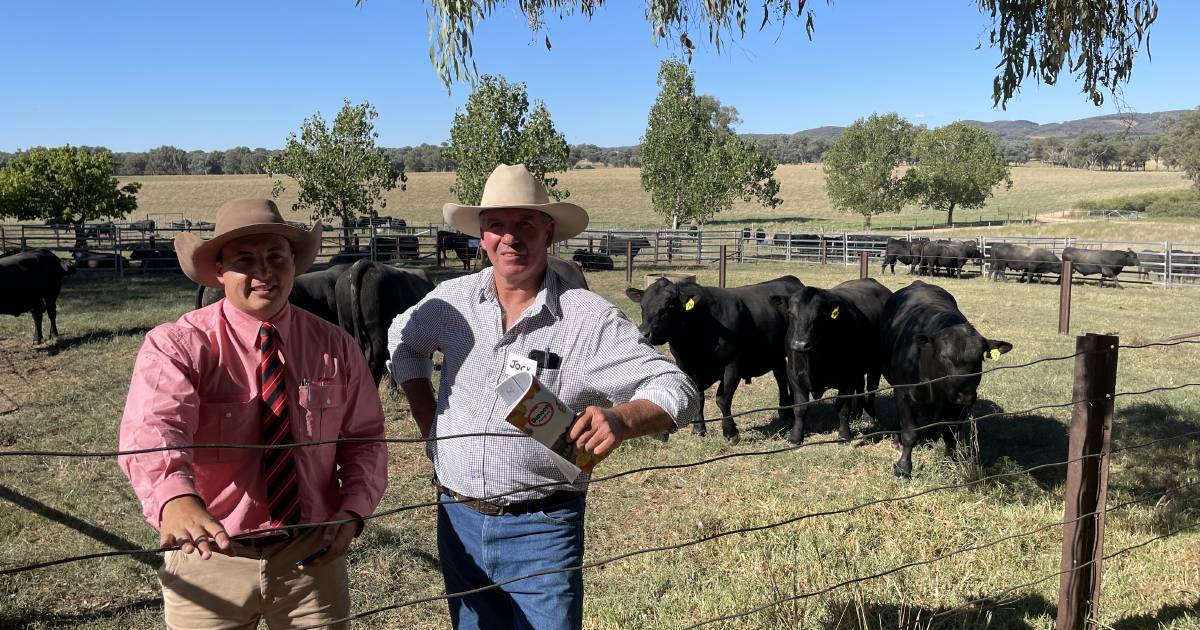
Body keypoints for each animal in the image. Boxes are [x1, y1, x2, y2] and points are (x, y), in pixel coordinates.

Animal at [624, 274, 801, 441]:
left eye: (669, 306)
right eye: (642, 306)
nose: (645, 333)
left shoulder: (732, 364)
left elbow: (722, 399)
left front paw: (731, 432)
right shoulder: (686, 366)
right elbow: (698, 397)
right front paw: (698, 430)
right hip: (775, 355)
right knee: (781, 376)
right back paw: (784, 413)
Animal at [768, 277, 892, 444]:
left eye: (819, 316)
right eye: (790, 313)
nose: (800, 344)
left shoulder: (848, 377)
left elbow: (843, 408)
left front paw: (844, 435)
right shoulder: (793, 374)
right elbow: (800, 408)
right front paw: (795, 437)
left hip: (875, 364)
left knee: (871, 388)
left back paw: (868, 416)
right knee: (861, 386)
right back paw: (858, 413)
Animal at [883, 280, 1012, 477]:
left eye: (980, 357)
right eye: (944, 357)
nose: (965, 395)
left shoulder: (961, 405)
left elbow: (950, 435)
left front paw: (950, 462)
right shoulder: (903, 392)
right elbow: (910, 432)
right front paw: (903, 467)